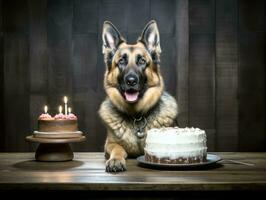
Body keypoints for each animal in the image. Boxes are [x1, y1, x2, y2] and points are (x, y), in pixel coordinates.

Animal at [98, 21, 178, 173]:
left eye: (142, 61)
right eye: (121, 61)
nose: (131, 81)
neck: (136, 116)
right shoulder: (109, 144)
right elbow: (117, 149)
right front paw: (116, 160)